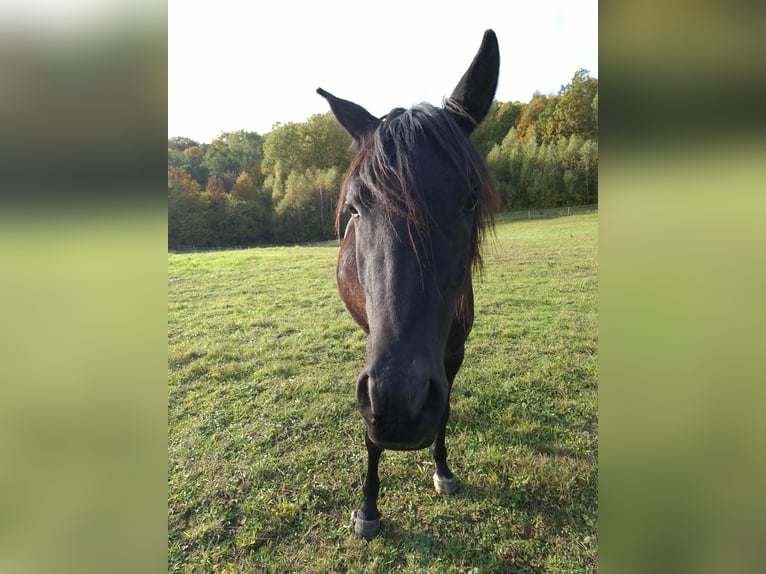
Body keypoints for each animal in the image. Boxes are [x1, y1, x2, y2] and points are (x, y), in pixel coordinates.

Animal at [317, 29, 500, 539]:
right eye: (356, 207)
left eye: (469, 200)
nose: (401, 406)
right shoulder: (375, 370)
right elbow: (370, 436)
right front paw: (368, 507)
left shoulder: (452, 354)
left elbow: (447, 410)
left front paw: (443, 468)